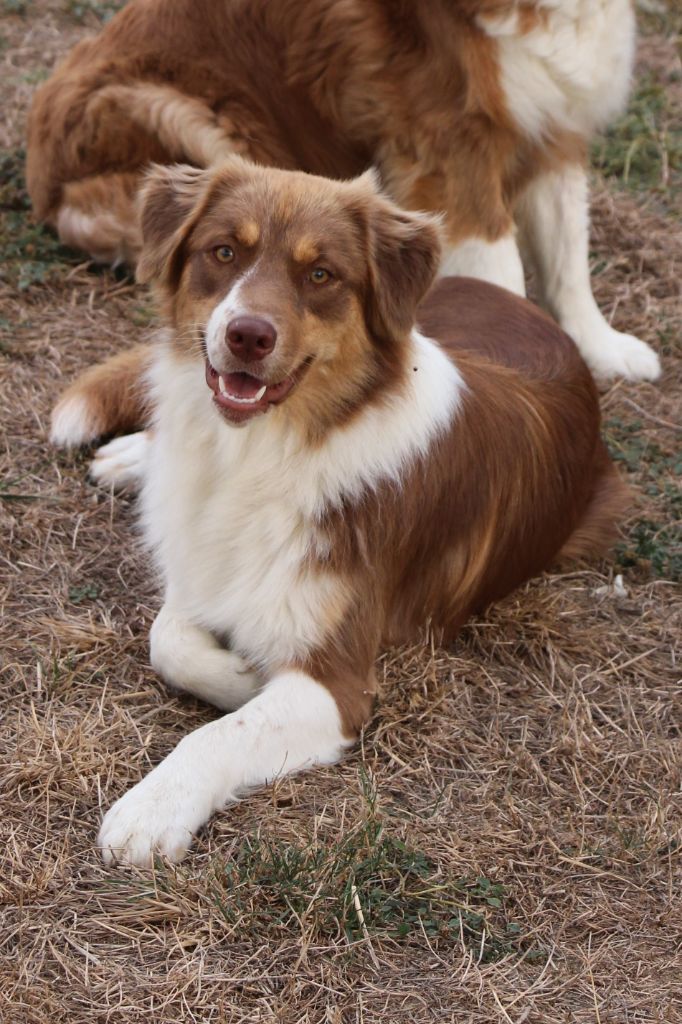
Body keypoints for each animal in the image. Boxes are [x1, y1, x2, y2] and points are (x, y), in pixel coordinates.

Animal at [27, 0, 659, 385]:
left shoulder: (556, 127)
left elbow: (567, 255)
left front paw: (600, 346)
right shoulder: (455, 143)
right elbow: (503, 273)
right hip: (187, 116)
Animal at [51, 159, 626, 864]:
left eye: (321, 274)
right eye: (224, 252)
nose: (247, 335)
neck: (267, 450)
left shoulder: (337, 681)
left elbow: (222, 731)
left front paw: (152, 808)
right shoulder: (207, 573)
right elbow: (168, 638)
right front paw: (242, 674)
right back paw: (132, 456)